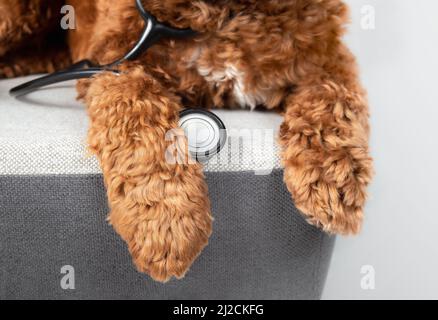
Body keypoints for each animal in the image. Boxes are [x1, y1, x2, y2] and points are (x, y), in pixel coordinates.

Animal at [0, 0, 372, 282]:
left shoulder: (326, 58)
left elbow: (335, 96)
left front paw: (334, 181)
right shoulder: (113, 64)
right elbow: (138, 109)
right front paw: (166, 222)